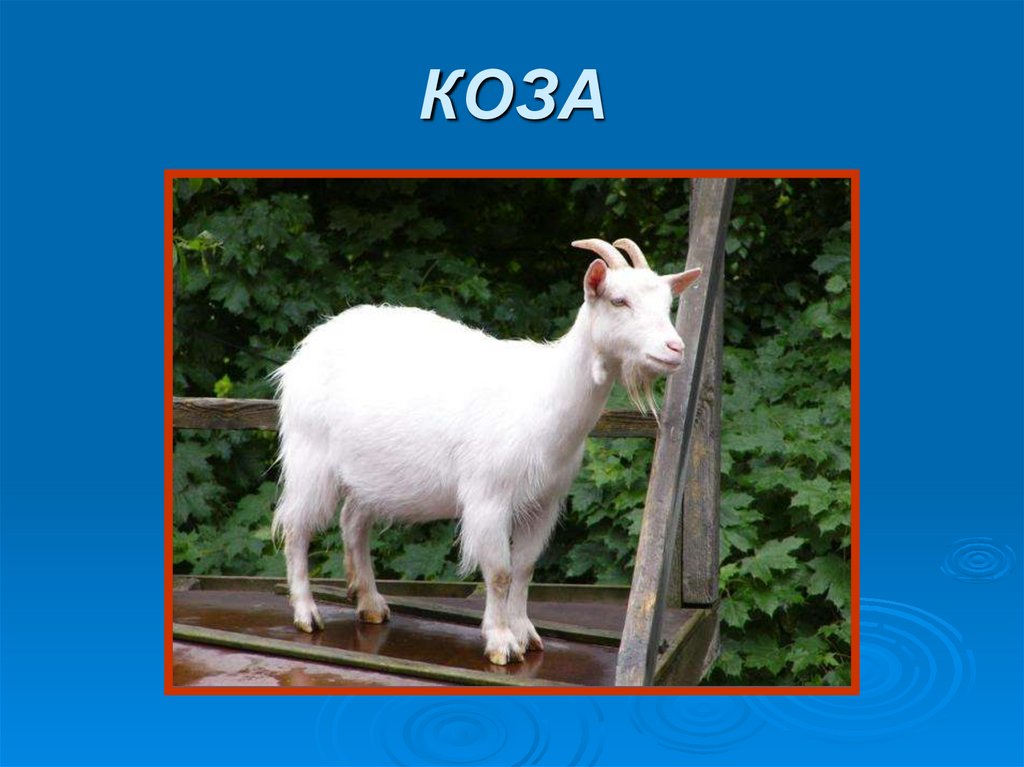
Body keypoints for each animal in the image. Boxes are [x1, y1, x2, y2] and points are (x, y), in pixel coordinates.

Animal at [271, 238, 701, 665]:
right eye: (618, 300)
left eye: (667, 304)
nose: (675, 348)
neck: (545, 396)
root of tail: (308, 347)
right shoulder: (489, 497)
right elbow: (499, 572)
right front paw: (500, 642)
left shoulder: (545, 502)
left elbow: (525, 568)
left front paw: (525, 633)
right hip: (310, 457)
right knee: (295, 527)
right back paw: (306, 612)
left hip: (371, 474)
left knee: (353, 523)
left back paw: (371, 603)